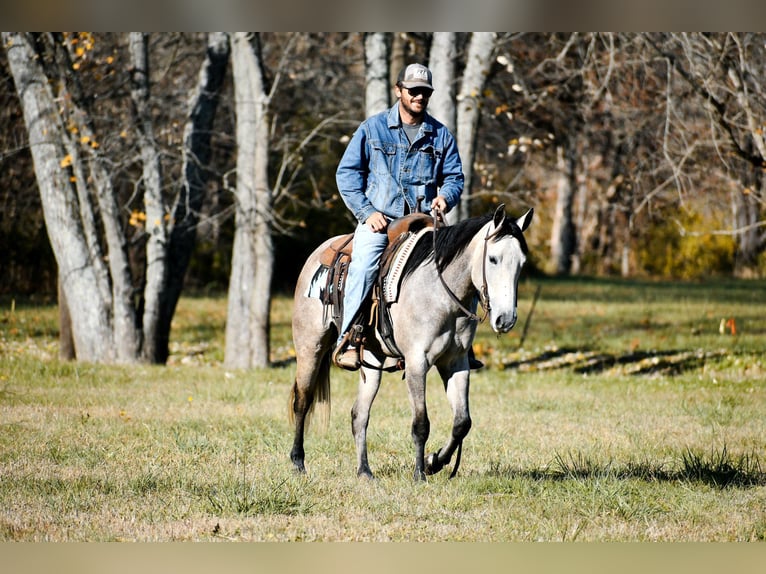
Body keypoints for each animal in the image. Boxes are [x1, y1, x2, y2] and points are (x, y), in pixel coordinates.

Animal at [288, 205, 536, 480]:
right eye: (493, 259)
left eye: (522, 263)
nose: (506, 319)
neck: (439, 293)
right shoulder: (418, 362)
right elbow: (421, 423)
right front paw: (419, 473)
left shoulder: (456, 363)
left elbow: (462, 422)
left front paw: (434, 462)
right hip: (310, 347)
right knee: (302, 401)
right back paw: (298, 462)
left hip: (372, 358)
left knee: (359, 414)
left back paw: (364, 471)